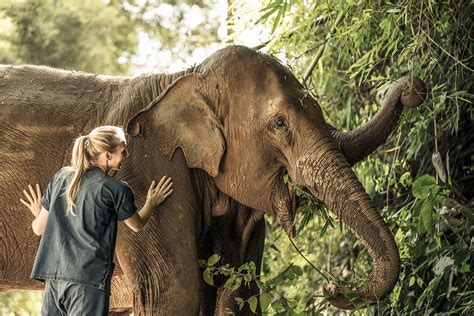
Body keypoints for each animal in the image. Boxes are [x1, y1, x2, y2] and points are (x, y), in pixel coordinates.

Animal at [0, 45, 426, 314]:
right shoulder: (143, 171)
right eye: (279, 124)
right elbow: (175, 295)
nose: (331, 287)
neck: (184, 78)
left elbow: (235, 296)